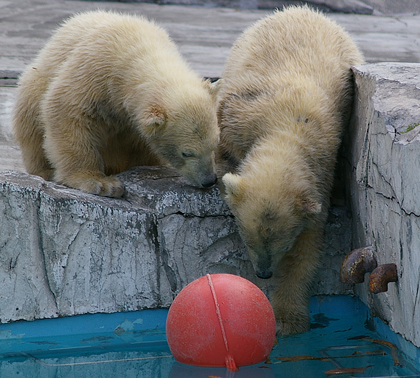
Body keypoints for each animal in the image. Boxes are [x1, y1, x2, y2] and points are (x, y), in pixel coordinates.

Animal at [13, 11, 220, 198]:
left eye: (215, 144)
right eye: (187, 153)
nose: (209, 181)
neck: (140, 49)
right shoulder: (95, 71)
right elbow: (66, 112)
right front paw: (102, 183)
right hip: (35, 83)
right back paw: (46, 171)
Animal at [217, 5, 364, 336]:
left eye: (281, 245)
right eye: (246, 238)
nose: (264, 273)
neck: (289, 127)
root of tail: (305, 10)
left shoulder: (318, 175)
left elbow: (307, 250)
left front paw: (287, 318)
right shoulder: (240, 111)